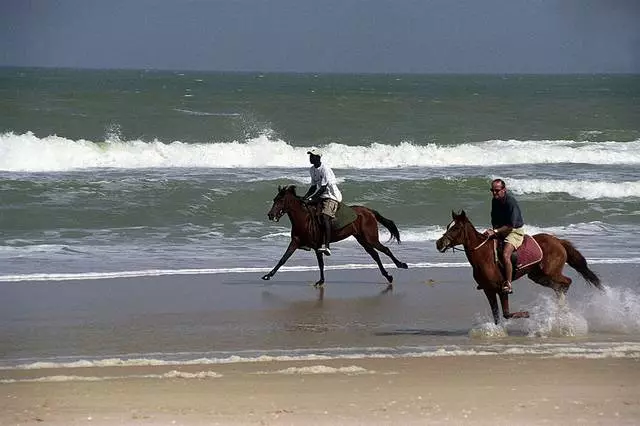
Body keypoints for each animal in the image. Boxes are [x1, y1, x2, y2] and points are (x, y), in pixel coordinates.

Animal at [262, 185, 408, 288]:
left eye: (281, 200)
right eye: (275, 200)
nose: (270, 215)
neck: (304, 219)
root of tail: (369, 211)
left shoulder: (317, 246)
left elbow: (320, 263)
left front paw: (321, 281)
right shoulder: (295, 242)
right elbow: (283, 259)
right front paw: (268, 275)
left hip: (370, 238)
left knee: (385, 250)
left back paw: (401, 265)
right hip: (362, 240)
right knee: (375, 255)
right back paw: (388, 276)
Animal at [432, 211, 604, 324]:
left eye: (456, 228)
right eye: (448, 226)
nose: (439, 244)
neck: (483, 255)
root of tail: (558, 241)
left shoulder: (501, 289)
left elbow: (507, 314)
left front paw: (526, 314)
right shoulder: (488, 290)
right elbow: (497, 316)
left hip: (551, 271)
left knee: (566, 282)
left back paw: (561, 308)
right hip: (538, 276)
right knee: (558, 286)